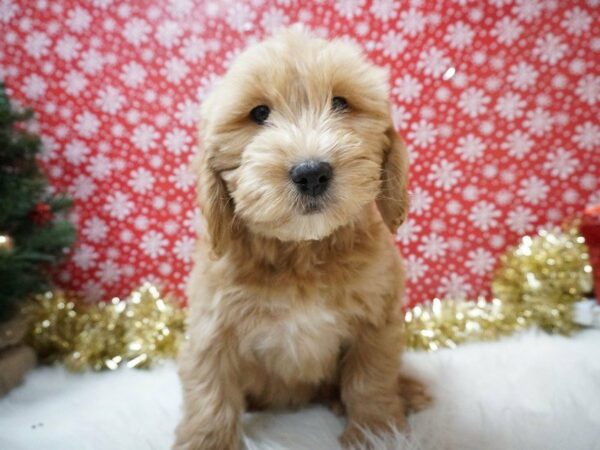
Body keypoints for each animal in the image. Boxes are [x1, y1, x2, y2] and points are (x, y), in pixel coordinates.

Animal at [171, 29, 428, 450]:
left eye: (340, 103)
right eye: (259, 114)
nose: (311, 172)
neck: (302, 252)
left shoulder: (376, 318)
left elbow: (371, 378)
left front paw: (376, 433)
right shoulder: (212, 327)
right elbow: (211, 391)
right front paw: (207, 442)